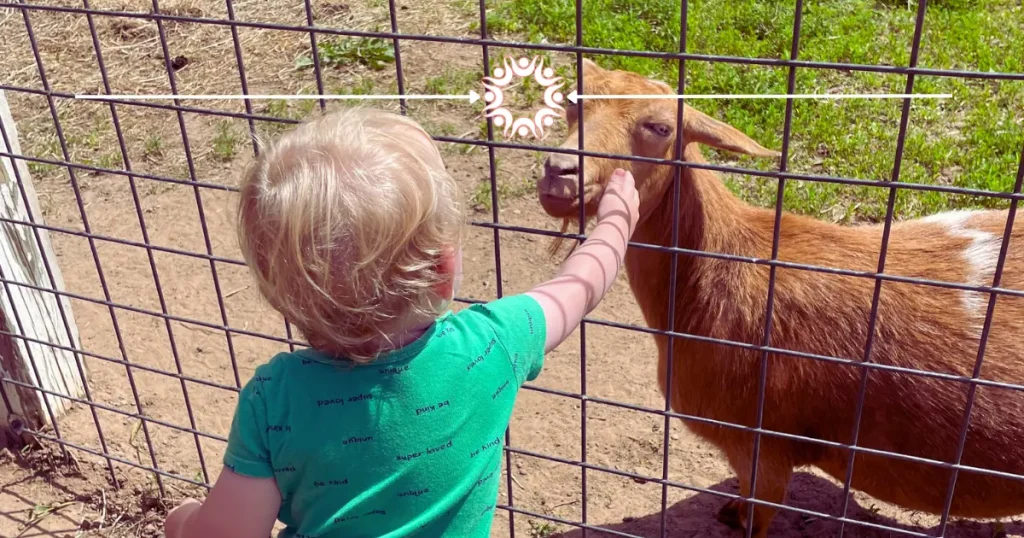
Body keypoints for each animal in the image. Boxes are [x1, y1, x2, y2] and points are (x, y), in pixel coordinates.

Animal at [537, 58, 1024, 537]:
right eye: (571, 103)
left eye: (660, 127)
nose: (560, 173)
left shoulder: (760, 447)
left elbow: (759, 517)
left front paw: (736, 518)